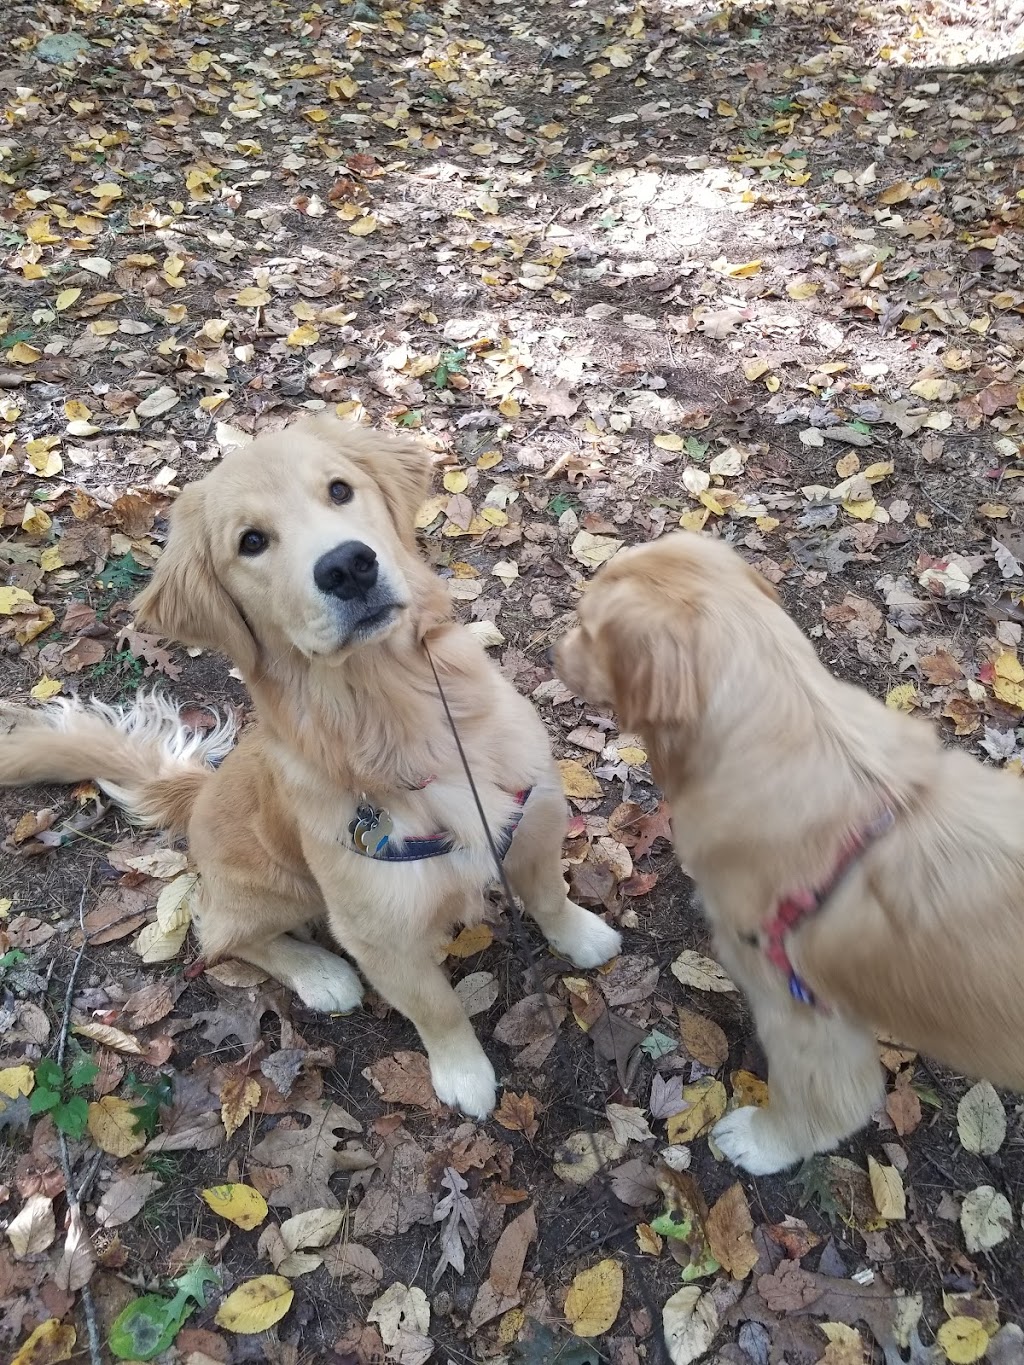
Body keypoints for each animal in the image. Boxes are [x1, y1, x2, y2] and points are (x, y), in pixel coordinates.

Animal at [2, 414, 625, 1119]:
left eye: (339, 490)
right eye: (251, 542)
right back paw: (320, 974)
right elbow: (436, 1009)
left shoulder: (535, 816)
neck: (397, 713)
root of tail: (199, 793)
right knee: (221, 936)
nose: (349, 566)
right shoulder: (378, 931)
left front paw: (583, 936)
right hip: (275, 889)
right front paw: (463, 1075)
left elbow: (549, 896)